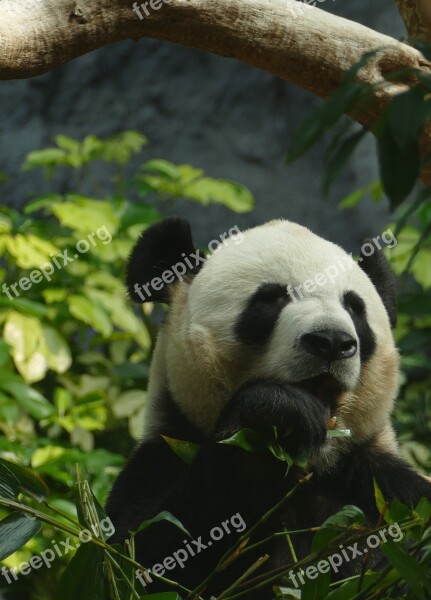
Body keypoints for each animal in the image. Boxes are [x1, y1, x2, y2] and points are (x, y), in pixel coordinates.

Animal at [105, 218, 431, 596]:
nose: (332, 342)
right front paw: (276, 413)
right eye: (272, 298)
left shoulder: (385, 487)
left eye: (354, 307)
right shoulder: (163, 456)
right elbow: (145, 559)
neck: (311, 465)